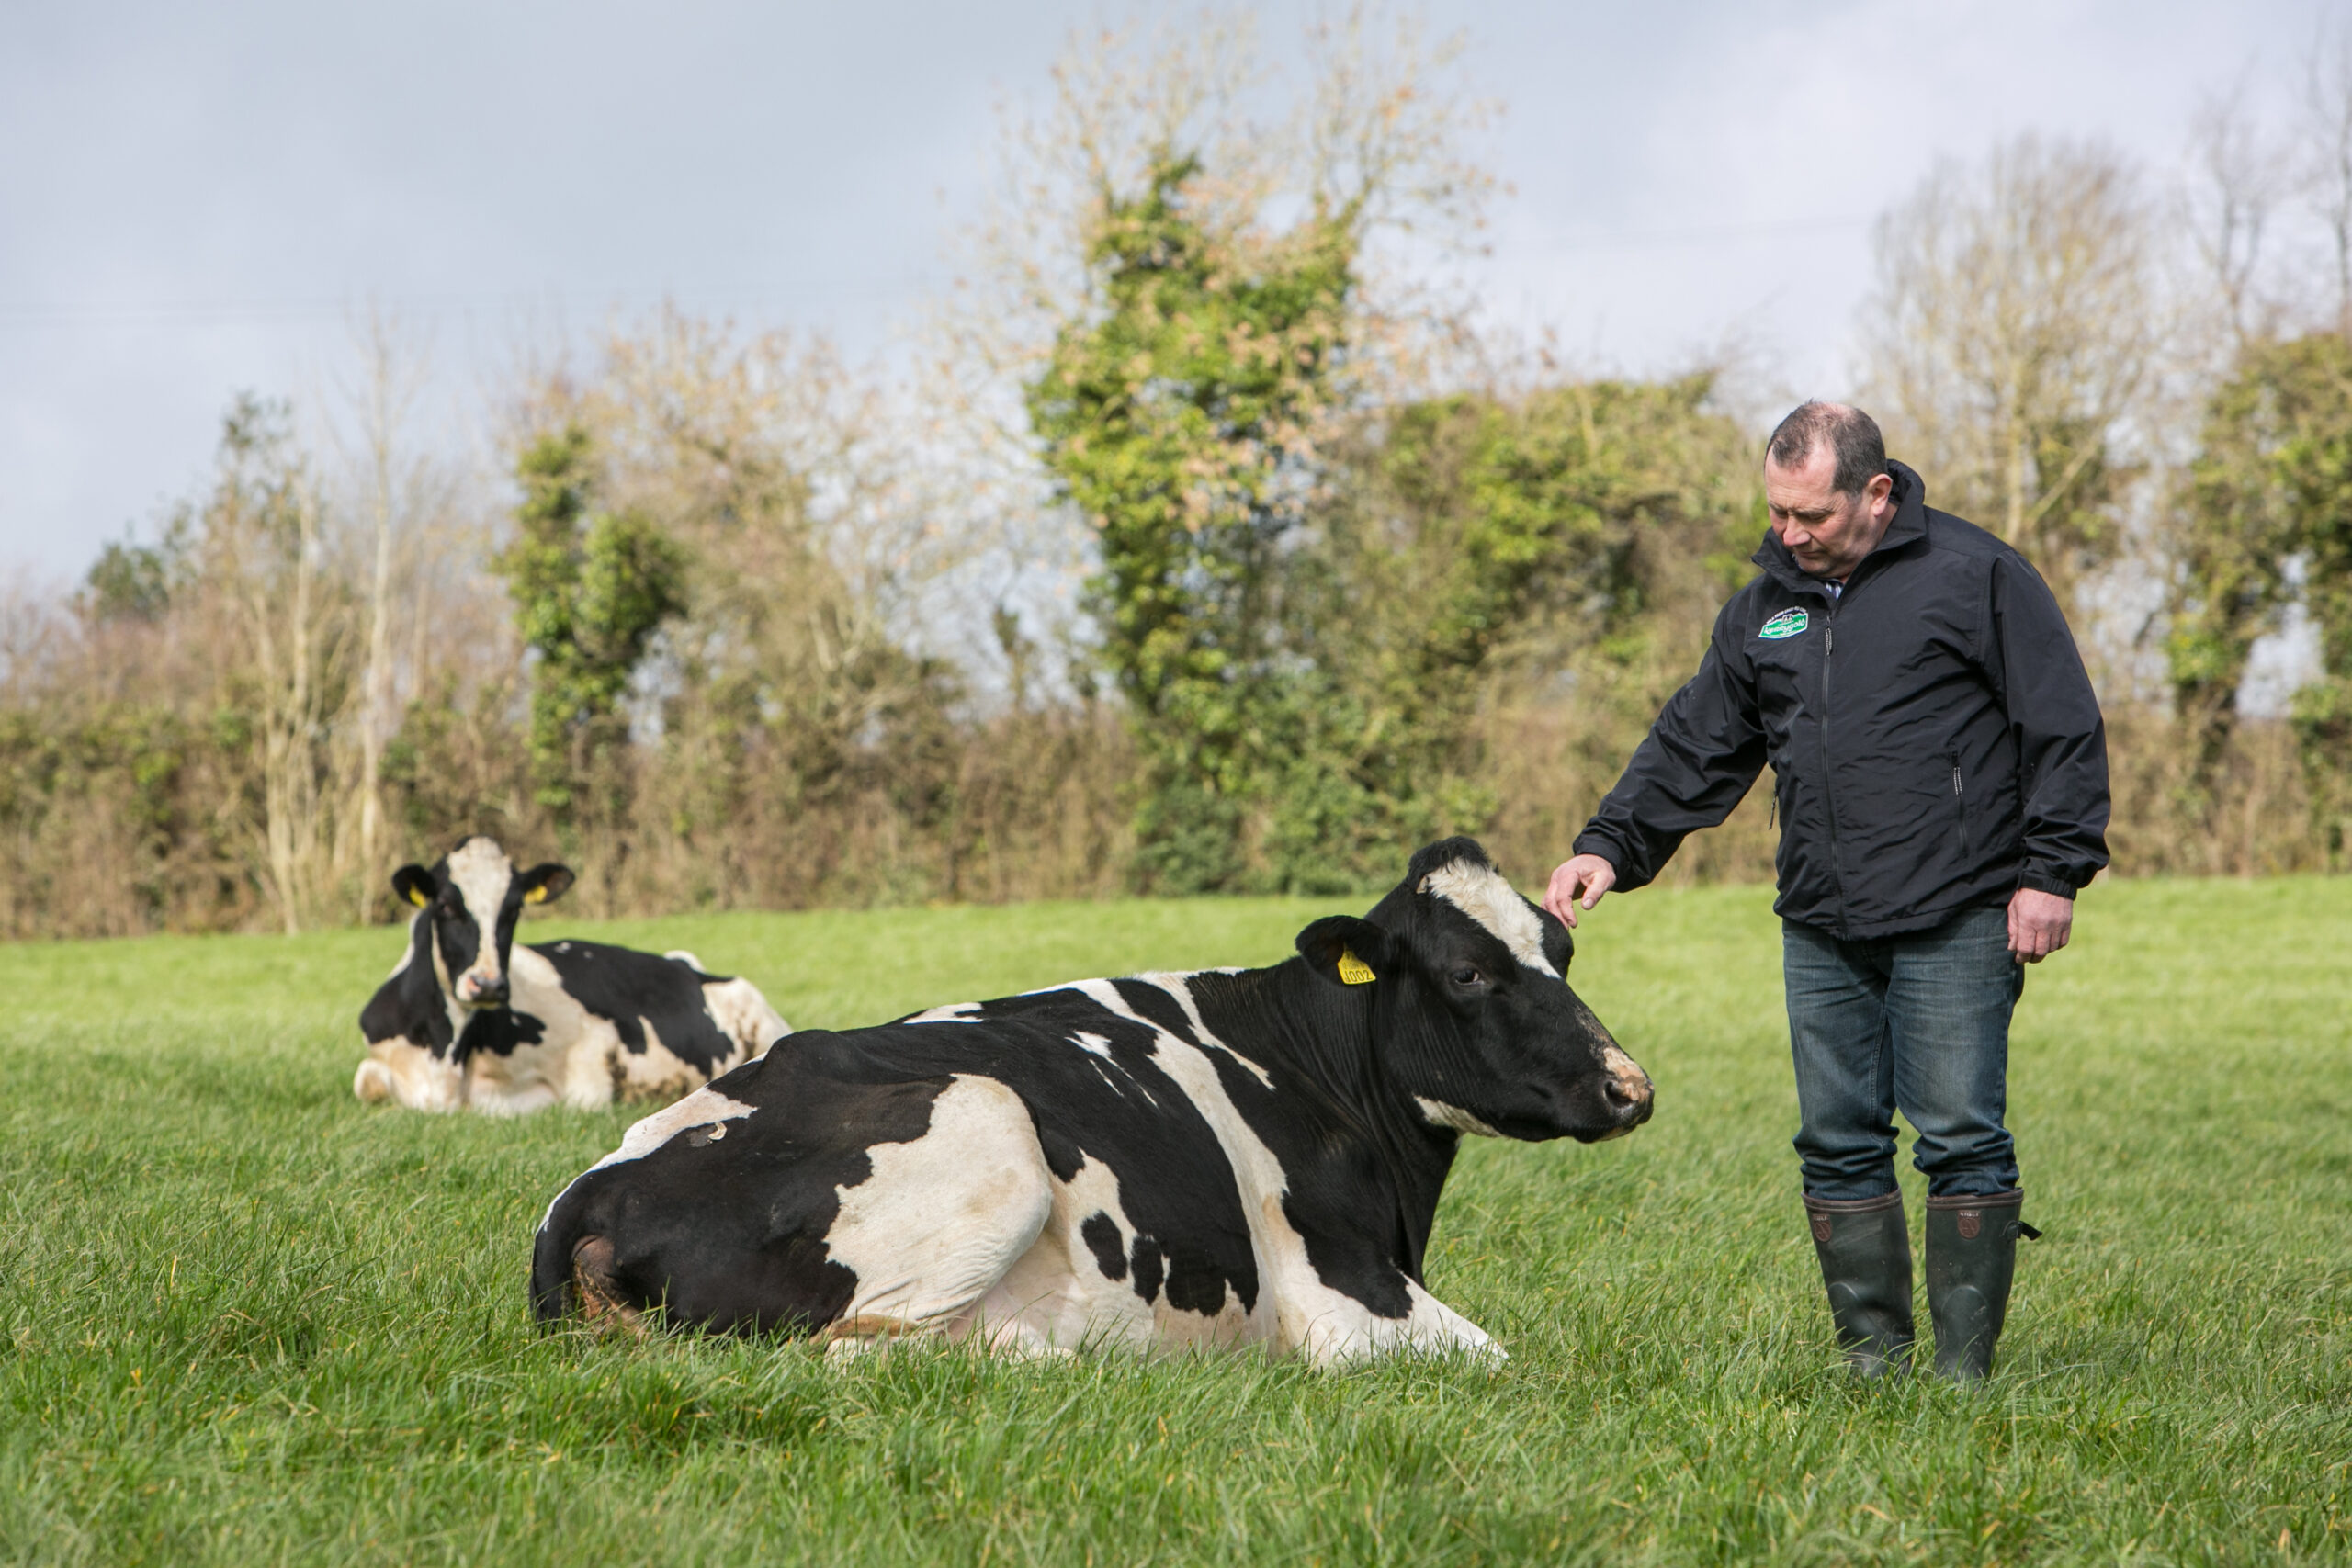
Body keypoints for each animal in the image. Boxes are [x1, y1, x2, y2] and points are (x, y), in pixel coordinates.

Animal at [353, 831, 786, 1114]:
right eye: (444, 906)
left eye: (514, 909)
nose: (488, 984)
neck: (444, 1056)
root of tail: (690, 965)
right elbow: (366, 1081)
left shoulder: (594, 1043)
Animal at [534, 841, 1656, 1363]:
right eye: (1468, 973)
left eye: (1559, 951)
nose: (1628, 1086)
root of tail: (588, 1196)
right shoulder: (1343, 1298)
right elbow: (1507, 1361)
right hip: (986, 1126)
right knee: (860, 1357)